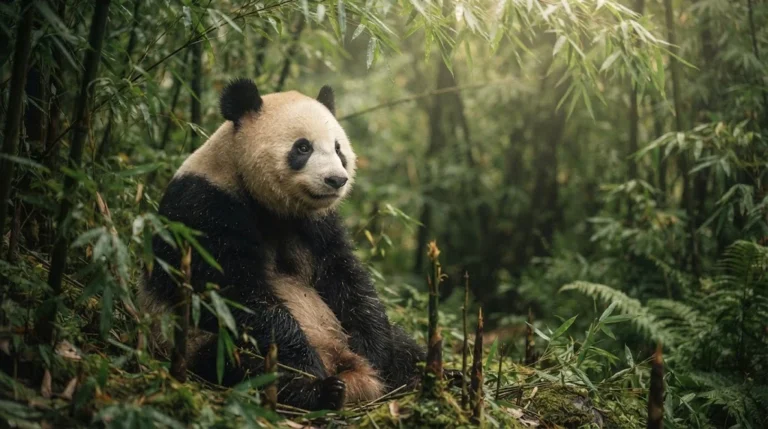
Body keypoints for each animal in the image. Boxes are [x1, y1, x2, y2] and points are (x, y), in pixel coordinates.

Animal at [141, 78, 426, 411]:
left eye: (338, 148)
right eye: (303, 147)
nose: (336, 180)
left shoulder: (317, 224)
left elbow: (346, 277)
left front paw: (373, 353)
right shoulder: (205, 209)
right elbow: (238, 295)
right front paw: (305, 367)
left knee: (406, 346)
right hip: (191, 341)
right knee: (239, 362)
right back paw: (321, 390)